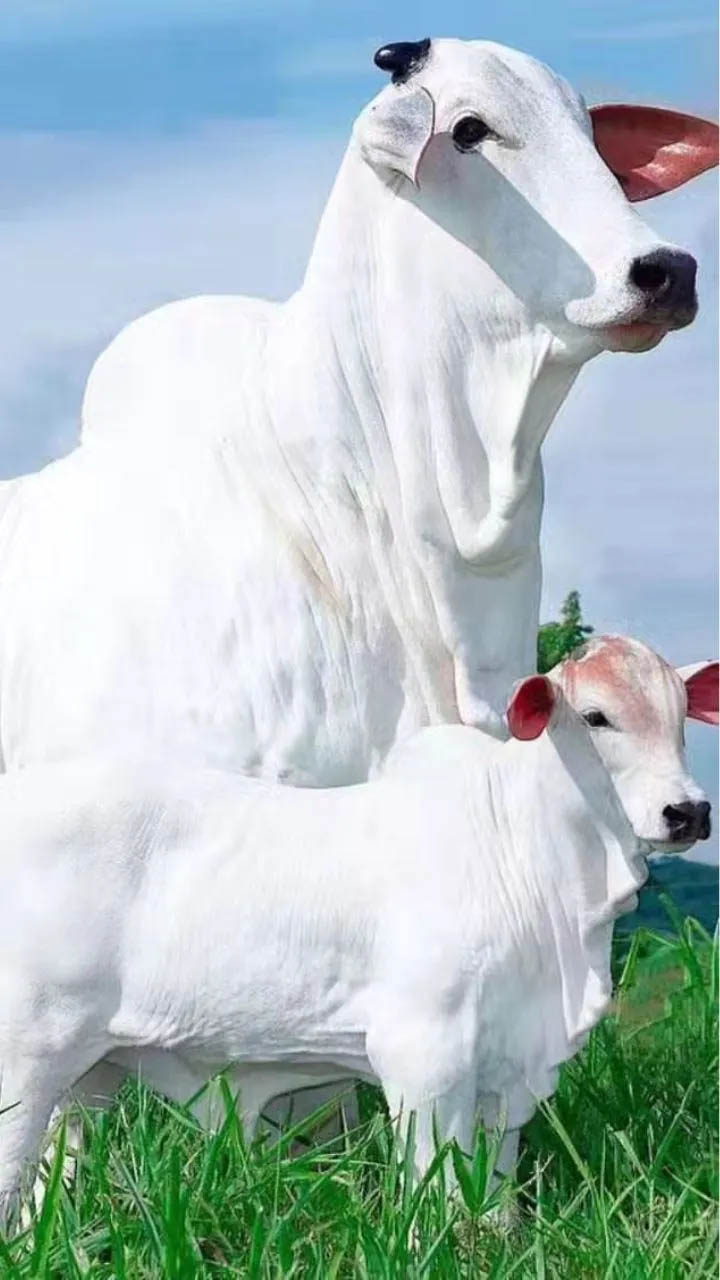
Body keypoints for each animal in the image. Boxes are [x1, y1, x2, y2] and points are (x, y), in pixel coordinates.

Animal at [0, 638, 715, 1221]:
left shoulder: (507, 1069)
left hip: (90, 1069)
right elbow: (438, 1188)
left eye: (682, 715)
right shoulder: (424, 1055)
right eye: (596, 716)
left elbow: (494, 1193)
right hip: (25, 1055)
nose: (688, 811)